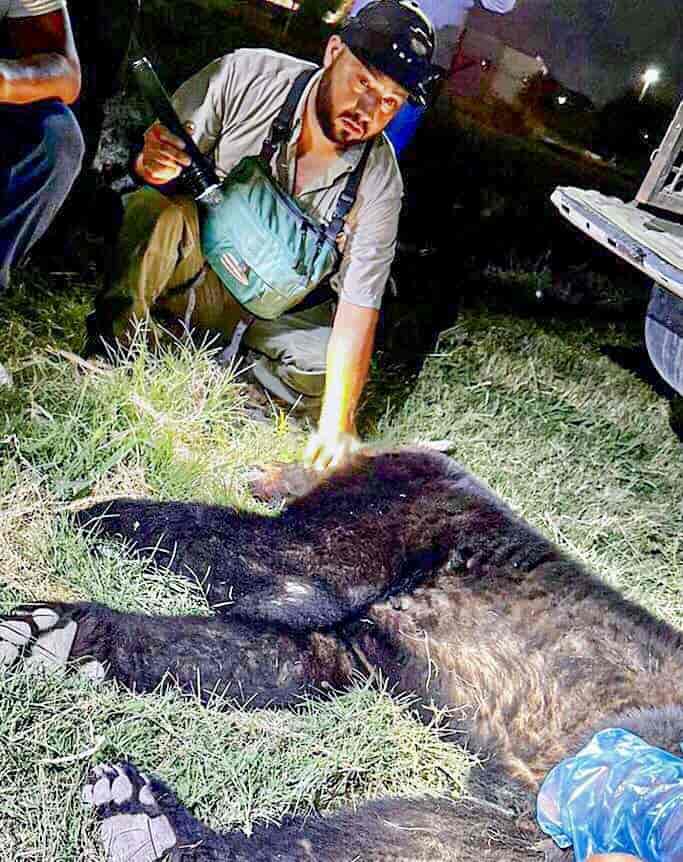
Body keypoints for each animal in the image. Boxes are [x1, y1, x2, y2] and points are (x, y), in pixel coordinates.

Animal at [1, 447, 682, 862]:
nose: (257, 467)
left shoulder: (360, 535)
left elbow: (247, 548)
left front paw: (94, 509)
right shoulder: (352, 643)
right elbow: (269, 654)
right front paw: (51, 633)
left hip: (619, 773)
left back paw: (155, 823)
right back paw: (143, 818)